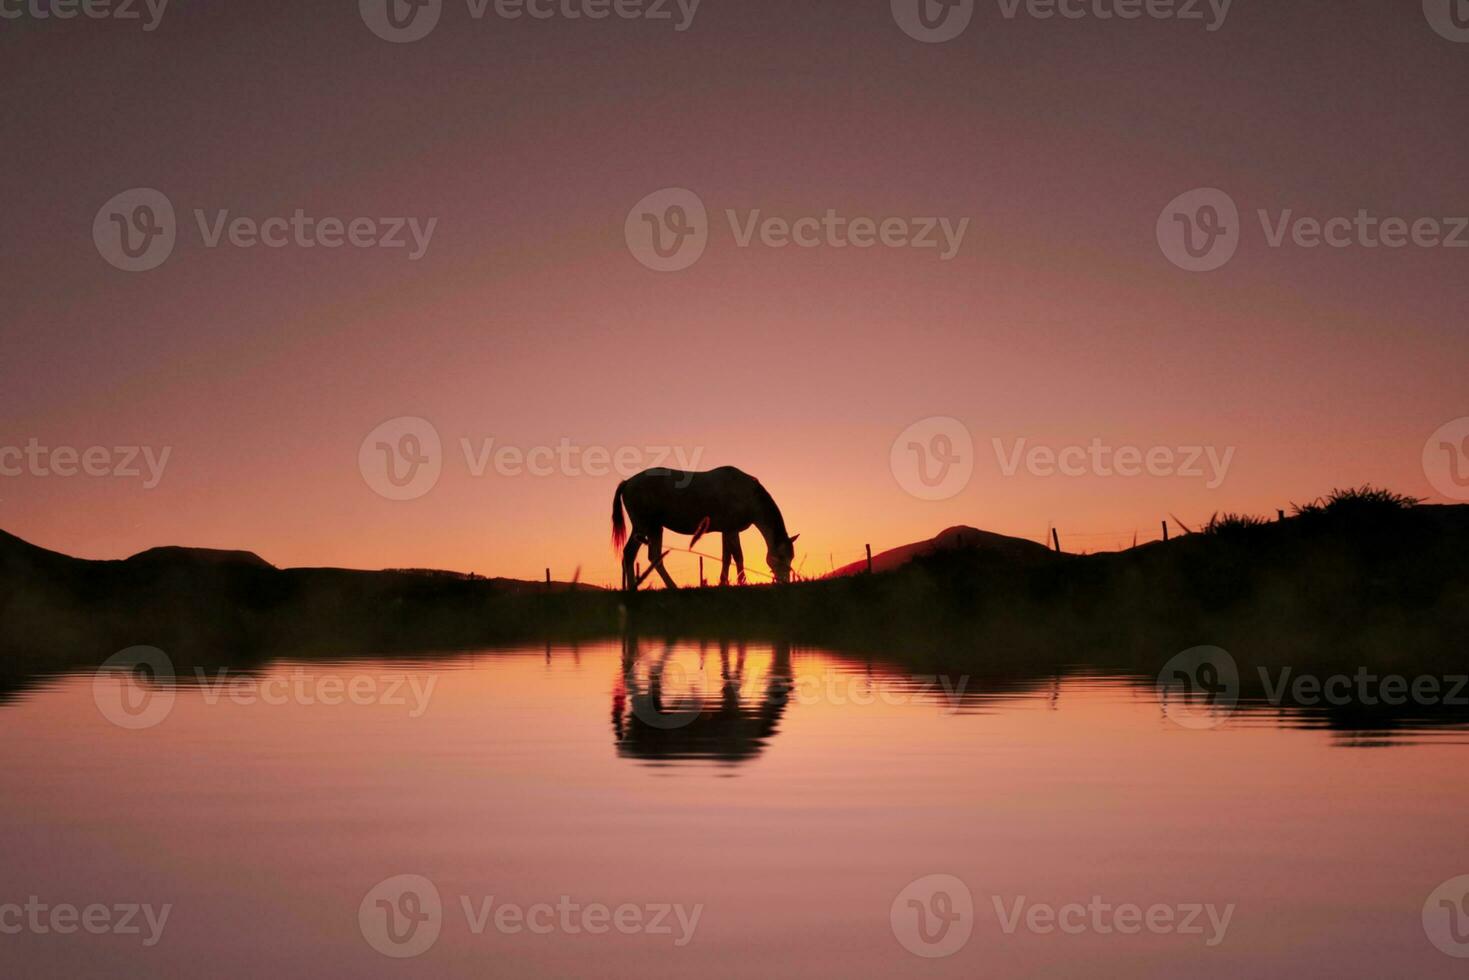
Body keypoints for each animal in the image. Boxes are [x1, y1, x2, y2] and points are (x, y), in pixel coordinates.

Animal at [611, 467, 805, 590]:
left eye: (791, 557)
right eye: (781, 557)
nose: (784, 582)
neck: (747, 495)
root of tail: (628, 482)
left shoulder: (727, 531)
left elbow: (726, 557)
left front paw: (724, 583)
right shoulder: (731, 530)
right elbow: (738, 556)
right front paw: (742, 582)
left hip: (648, 528)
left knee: (637, 555)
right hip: (647, 527)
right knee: (646, 556)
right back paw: (666, 587)